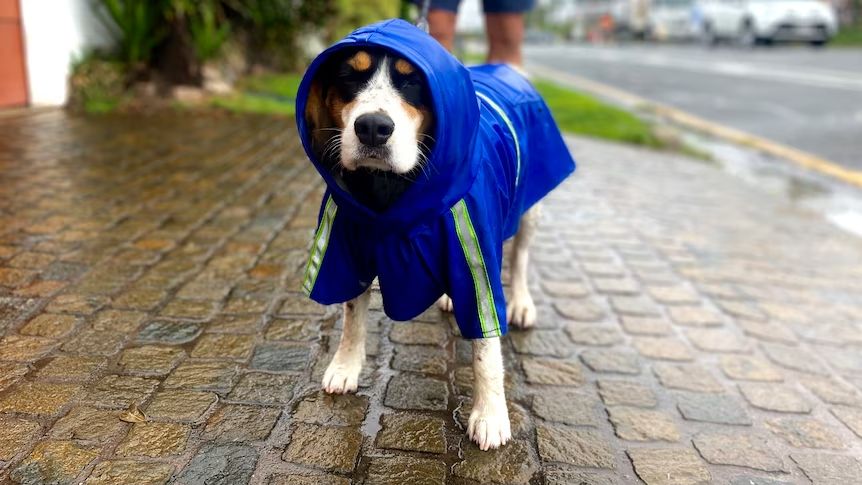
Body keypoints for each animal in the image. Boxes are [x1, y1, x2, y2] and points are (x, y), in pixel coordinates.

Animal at [294, 18, 576, 450]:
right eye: (349, 76)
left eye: (413, 82)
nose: (372, 128)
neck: (390, 195)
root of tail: (507, 69)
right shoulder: (347, 246)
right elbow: (352, 315)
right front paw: (345, 365)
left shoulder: (476, 256)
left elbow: (486, 345)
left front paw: (490, 413)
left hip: (531, 209)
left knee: (521, 258)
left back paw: (522, 303)